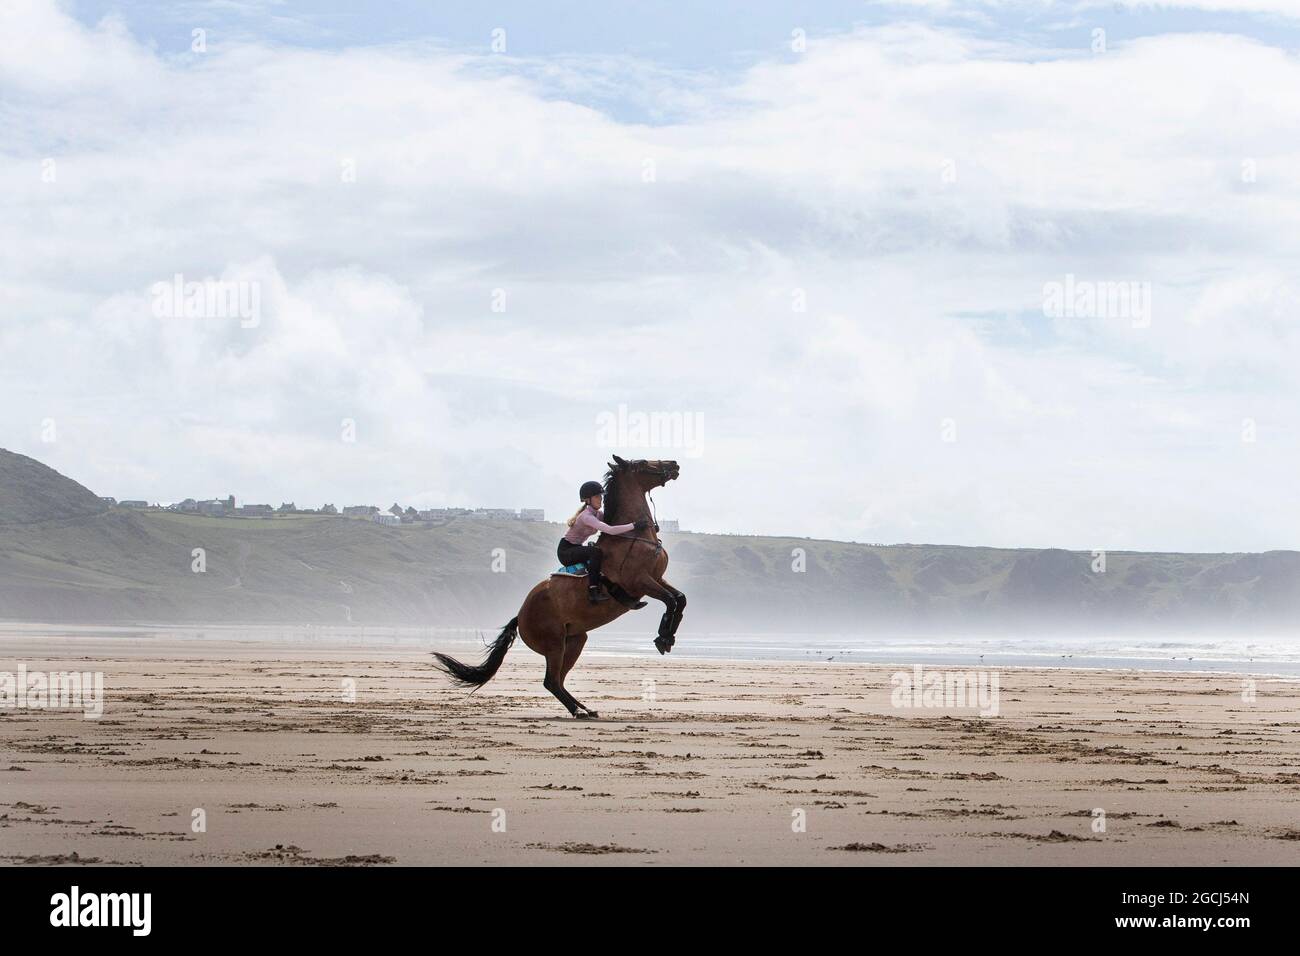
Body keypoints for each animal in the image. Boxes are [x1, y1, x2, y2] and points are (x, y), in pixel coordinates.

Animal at [431, 455, 686, 717]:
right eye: (644, 462)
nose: (674, 464)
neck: (634, 538)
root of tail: (520, 617)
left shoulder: (657, 579)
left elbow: (680, 599)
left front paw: (667, 637)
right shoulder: (640, 582)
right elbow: (670, 600)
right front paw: (663, 638)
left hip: (575, 641)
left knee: (559, 680)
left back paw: (585, 709)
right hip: (554, 645)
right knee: (551, 681)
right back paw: (577, 711)